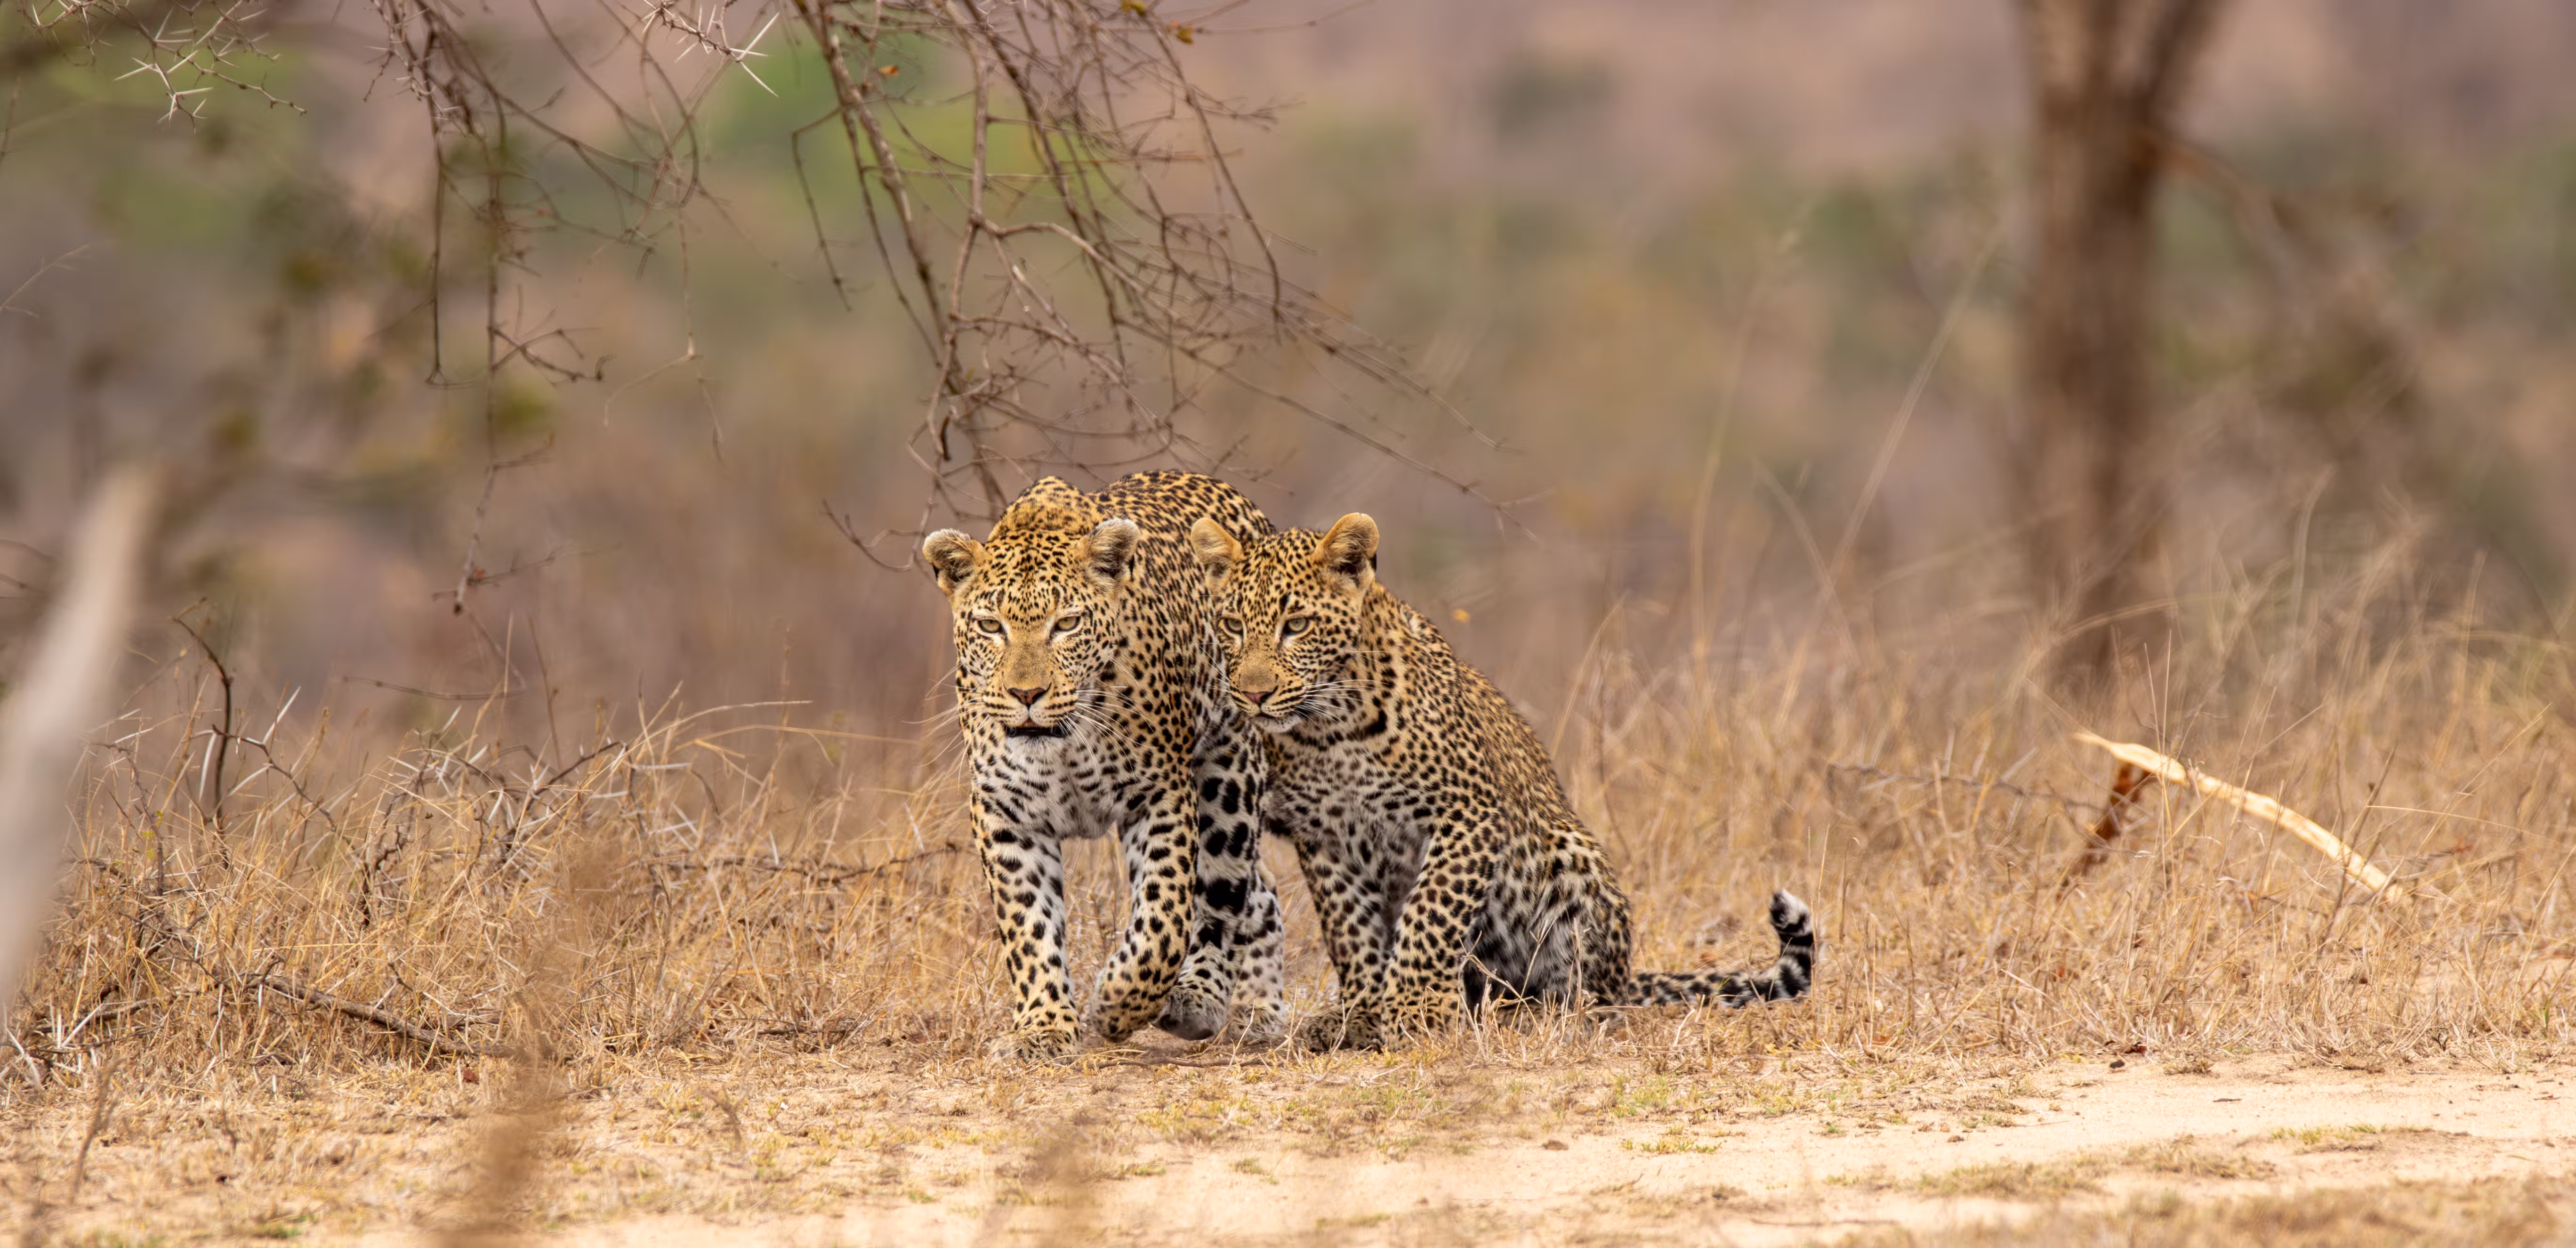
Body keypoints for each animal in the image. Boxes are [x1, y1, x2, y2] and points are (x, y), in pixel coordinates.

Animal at [921, 472, 1287, 1060]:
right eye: (991, 626)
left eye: (1067, 624)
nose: (1027, 694)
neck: (1064, 742)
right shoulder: (1005, 813)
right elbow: (1029, 924)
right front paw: (1044, 1026)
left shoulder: (1161, 796)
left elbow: (1165, 916)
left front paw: (1119, 1002)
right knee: (1262, 889)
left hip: (1230, 775)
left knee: (1223, 894)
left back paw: (1206, 1002)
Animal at [1188, 511, 1815, 1049]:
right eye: (1233, 627)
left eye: (1296, 626)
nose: (1253, 694)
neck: (1328, 730)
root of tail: (1628, 976)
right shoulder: (1326, 838)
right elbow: (1352, 931)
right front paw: (1365, 1011)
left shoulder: (1467, 812)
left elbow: (1430, 916)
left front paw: (1415, 1008)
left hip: (1569, 856)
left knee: (1588, 996)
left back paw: (1536, 1012)